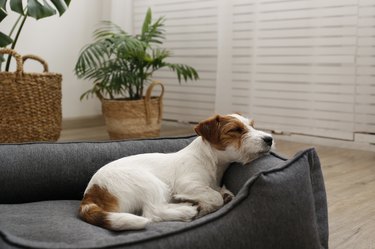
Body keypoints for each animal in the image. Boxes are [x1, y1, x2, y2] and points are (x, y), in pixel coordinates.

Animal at [79, 114, 274, 231]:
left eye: (252, 126)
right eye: (235, 130)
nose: (270, 139)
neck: (209, 160)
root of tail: (91, 192)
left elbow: (220, 192)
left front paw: (219, 195)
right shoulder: (187, 183)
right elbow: (215, 197)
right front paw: (204, 204)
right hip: (150, 182)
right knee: (153, 212)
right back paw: (186, 210)